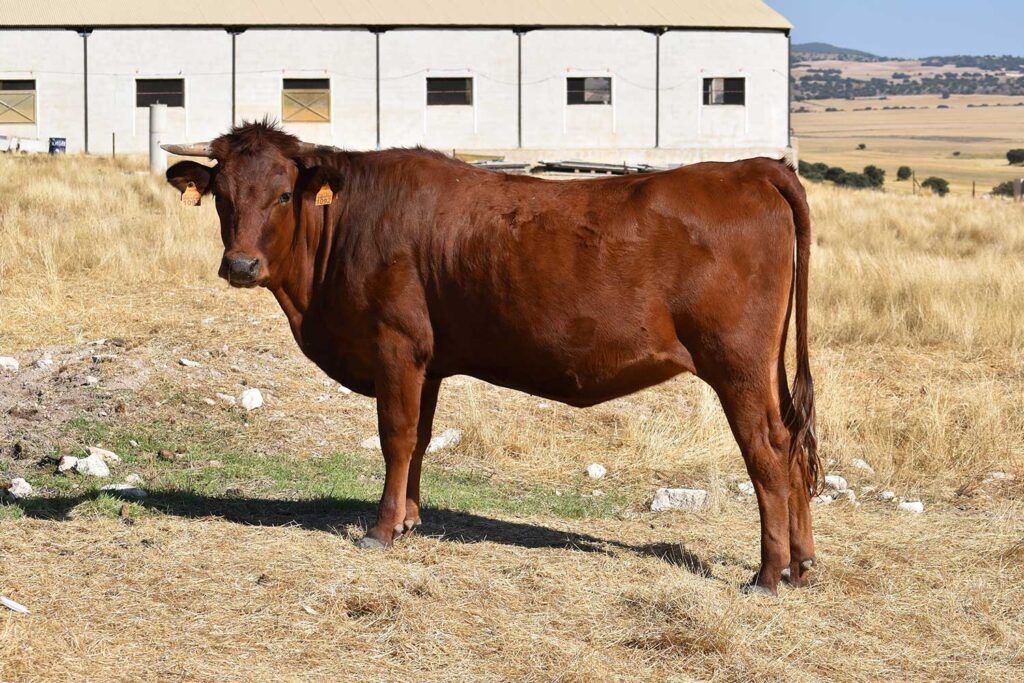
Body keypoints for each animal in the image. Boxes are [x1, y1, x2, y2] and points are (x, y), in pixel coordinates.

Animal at [162, 121, 819, 595]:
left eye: (281, 194)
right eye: (222, 197)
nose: (240, 265)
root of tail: (753, 167)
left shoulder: (395, 346)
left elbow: (396, 435)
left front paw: (382, 529)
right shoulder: (427, 361)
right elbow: (421, 439)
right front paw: (411, 518)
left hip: (737, 366)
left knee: (768, 451)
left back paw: (767, 575)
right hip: (763, 369)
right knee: (792, 443)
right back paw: (802, 564)